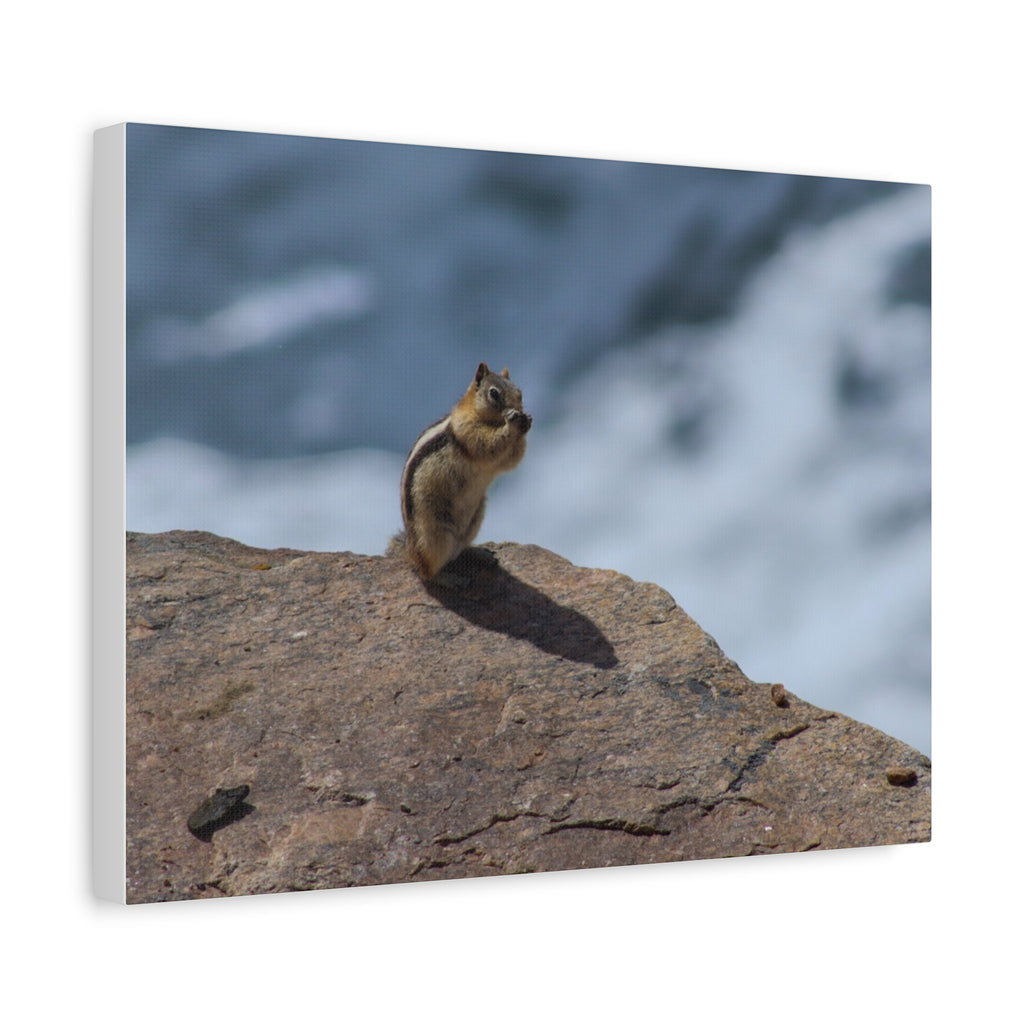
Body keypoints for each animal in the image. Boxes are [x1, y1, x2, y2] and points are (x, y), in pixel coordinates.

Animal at [390, 362, 532, 584]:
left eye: (520, 392)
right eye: (494, 393)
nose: (519, 410)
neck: (489, 420)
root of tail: (409, 551)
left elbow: (511, 460)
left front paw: (527, 422)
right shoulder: (468, 431)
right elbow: (489, 445)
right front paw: (513, 423)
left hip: (474, 521)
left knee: (458, 551)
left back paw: (479, 554)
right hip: (435, 536)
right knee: (425, 571)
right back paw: (449, 579)